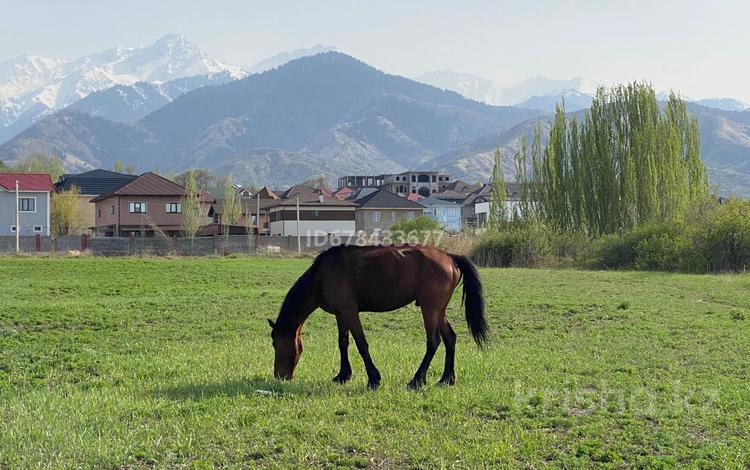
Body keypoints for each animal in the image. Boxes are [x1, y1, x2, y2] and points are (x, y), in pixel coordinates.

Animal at [268, 244, 490, 392]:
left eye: (276, 344)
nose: (280, 376)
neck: (321, 275)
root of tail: (449, 256)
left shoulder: (349, 311)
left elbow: (361, 344)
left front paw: (373, 379)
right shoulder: (341, 314)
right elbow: (343, 343)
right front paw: (343, 375)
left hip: (430, 309)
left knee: (433, 342)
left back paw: (417, 380)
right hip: (438, 310)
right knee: (450, 338)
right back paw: (446, 379)